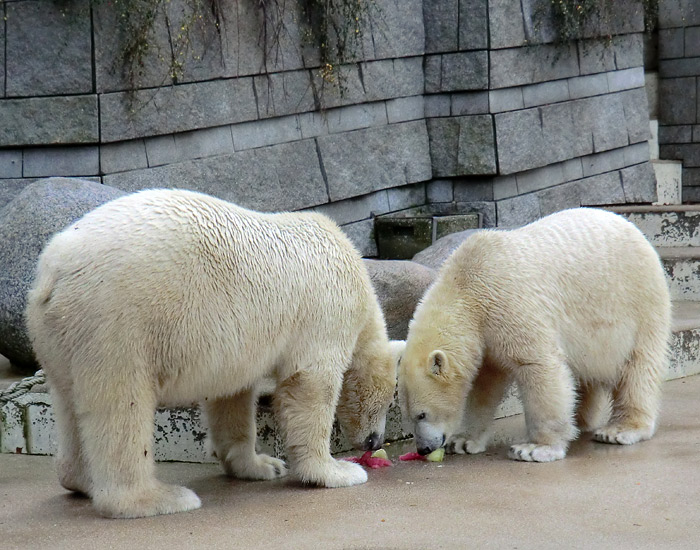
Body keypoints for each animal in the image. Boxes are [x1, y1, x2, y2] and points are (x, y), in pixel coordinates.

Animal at [26, 189, 400, 516]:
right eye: (384, 401)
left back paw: (80, 480)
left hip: (56, 334)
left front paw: (263, 465)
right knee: (121, 406)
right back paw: (159, 498)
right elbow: (310, 383)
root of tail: (53, 272)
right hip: (116, 321)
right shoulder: (325, 308)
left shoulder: (236, 341)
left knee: (68, 401)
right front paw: (334, 472)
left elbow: (230, 394)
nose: (374, 441)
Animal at [396, 209, 668, 464]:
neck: (466, 285)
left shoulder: (508, 304)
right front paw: (463, 441)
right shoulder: (486, 337)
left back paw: (620, 430)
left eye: (422, 414)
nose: (424, 448)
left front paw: (534, 448)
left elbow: (538, 365)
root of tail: (633, 227)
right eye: (408, 416)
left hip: (637, 302)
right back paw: (580, 419)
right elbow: (485, 387)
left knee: (638, 367)